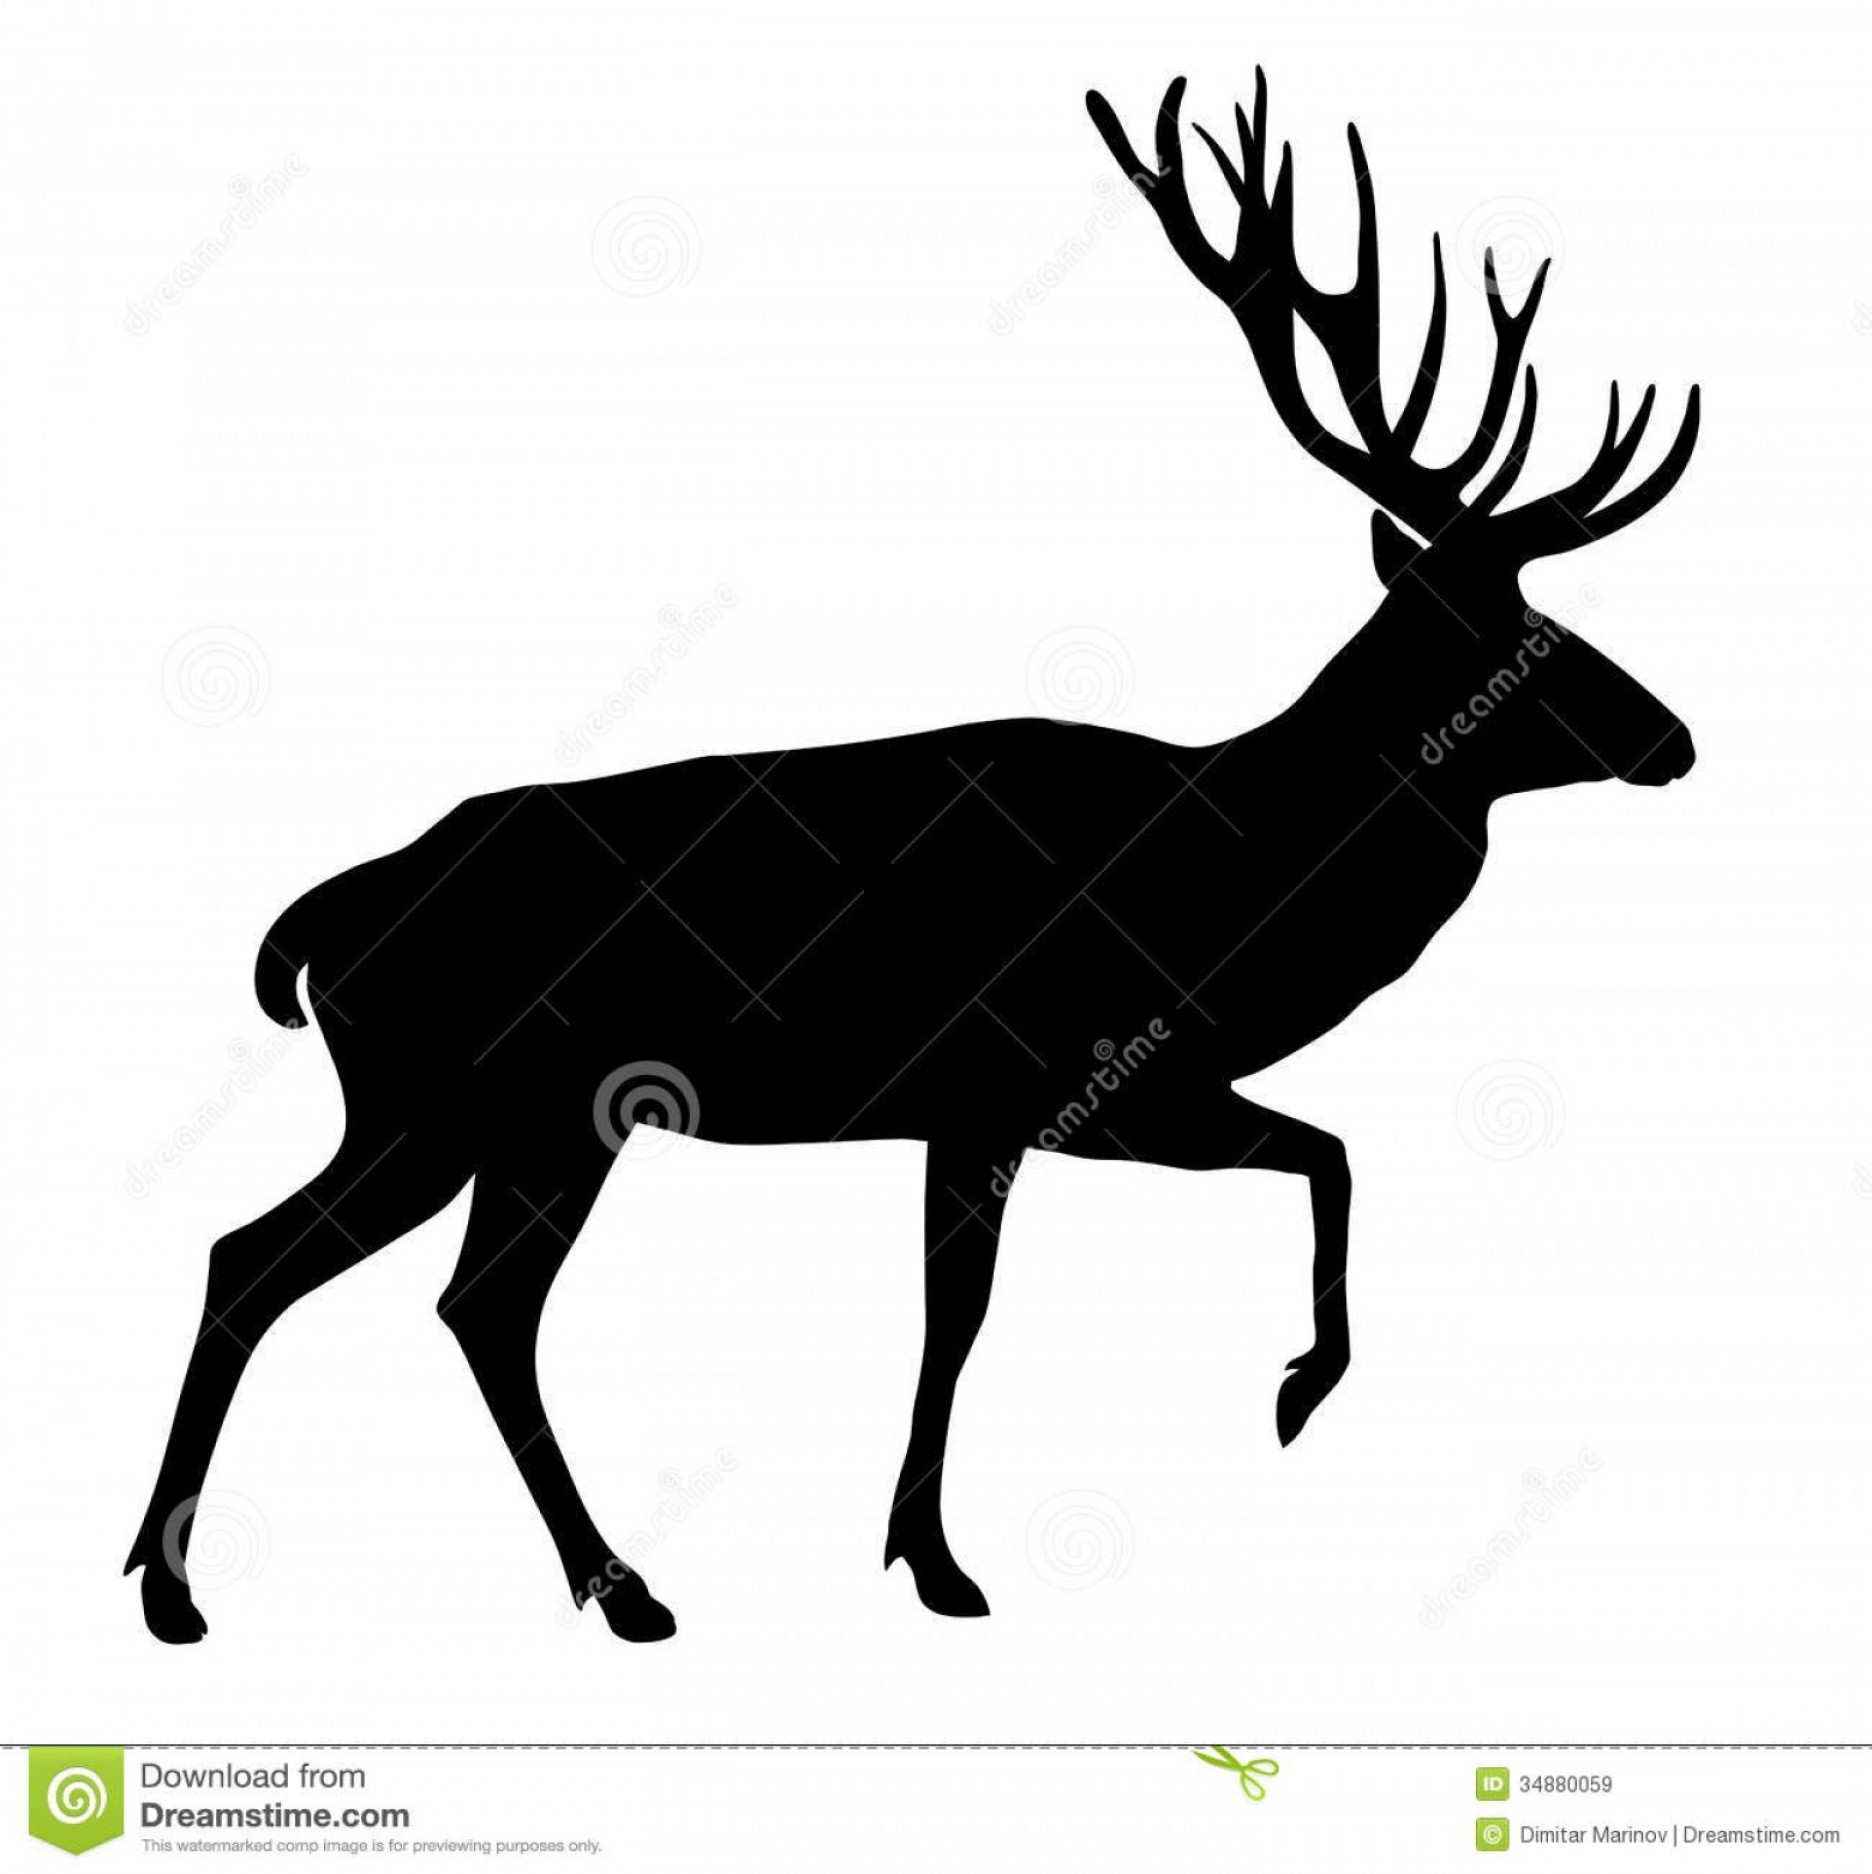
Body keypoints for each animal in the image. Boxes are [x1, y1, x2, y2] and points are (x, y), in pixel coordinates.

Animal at [128, 67, 1699, 1644]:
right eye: (1531, 640)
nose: (1677, 737)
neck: (1236, 883)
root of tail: (320, 922)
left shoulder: (1001, 1106)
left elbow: (1012, 1285)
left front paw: (924, 1546)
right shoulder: (1061, 1075)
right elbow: (1287, 1177)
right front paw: (1225, 1429)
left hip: (503, 1123)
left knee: (412, 1293)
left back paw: (560, 1582)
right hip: (457, 1101)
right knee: (305, 1270)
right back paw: (209, 1587)